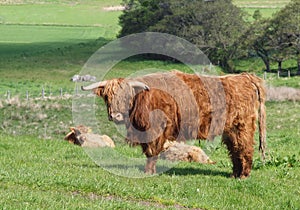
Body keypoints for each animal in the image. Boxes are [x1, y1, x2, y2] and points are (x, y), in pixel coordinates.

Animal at [81, 70, 266, 177]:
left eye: (127, 96)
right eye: (107, 97)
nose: (116, 115)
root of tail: (245, 77)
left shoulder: (155, 129)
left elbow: (152, 151)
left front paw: (149, 172)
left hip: (242, 125)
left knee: (244, 147)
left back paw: (243, 175)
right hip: (230, 129)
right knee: (235, 149)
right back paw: (235, 174)